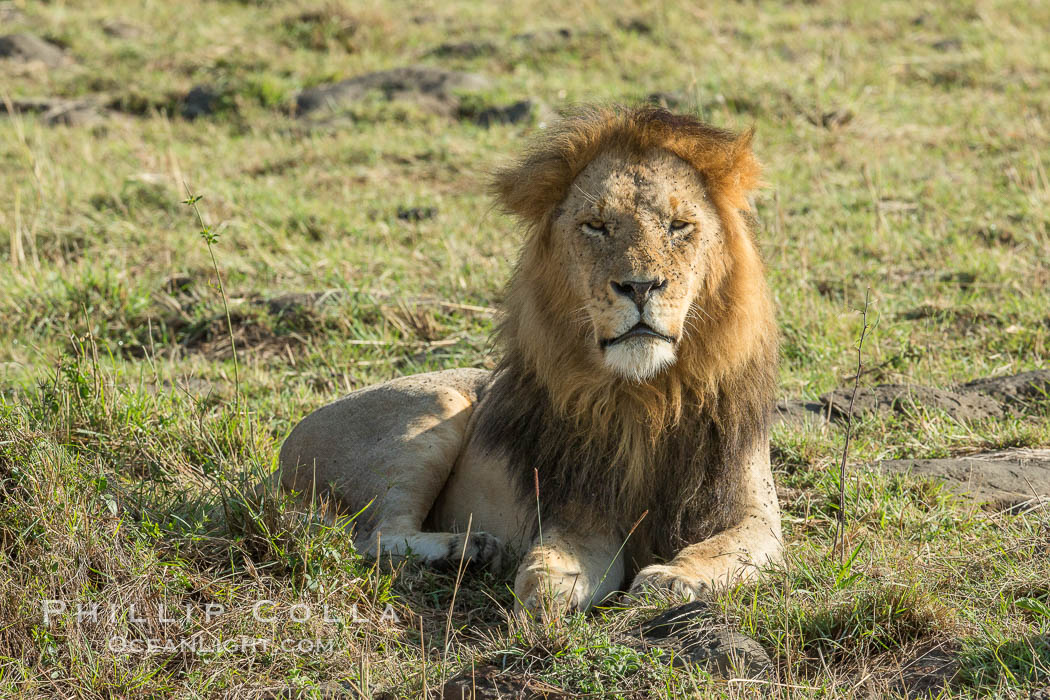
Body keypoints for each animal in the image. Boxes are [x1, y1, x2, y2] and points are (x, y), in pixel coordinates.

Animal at [279, 107, 781, 617]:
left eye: (679, 225)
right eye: (596, 226)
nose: (640, 287)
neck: (650, 394)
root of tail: (281, 456)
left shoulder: (757, 514)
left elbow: (721, 548)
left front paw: (672, 579)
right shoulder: (580, 513)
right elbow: (555, 556)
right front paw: (545, 593)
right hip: (436, 407)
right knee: (374, 536)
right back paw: (471, 548)